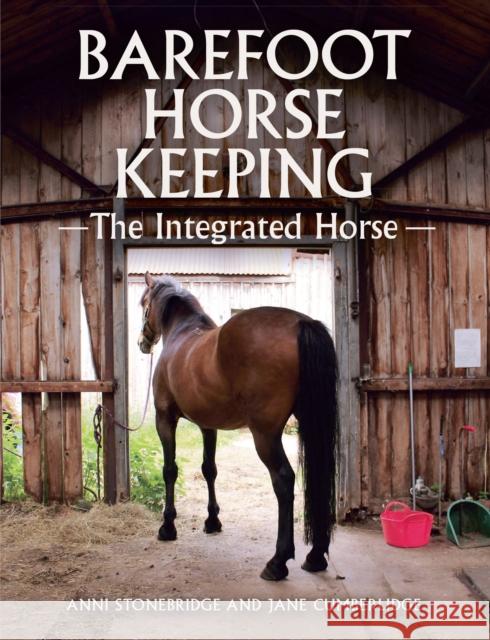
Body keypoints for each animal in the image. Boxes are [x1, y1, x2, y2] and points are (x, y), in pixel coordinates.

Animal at [138, 272, 338, 581]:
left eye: (143, 304)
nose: (143, 342)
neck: (183, 333)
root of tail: (301, 323)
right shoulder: (208, 426)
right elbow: (209, 469)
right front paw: (212, 521)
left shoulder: (165, 418)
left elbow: (170, 470)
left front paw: (167, 527)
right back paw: (315, 557)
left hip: (265, 435)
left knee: (284, 480)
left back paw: (277, 562)